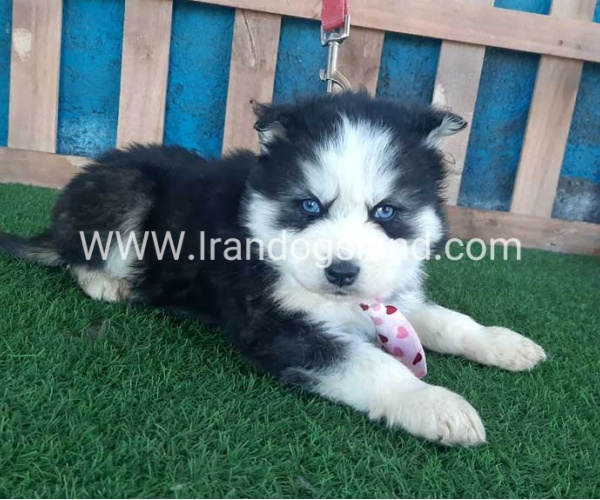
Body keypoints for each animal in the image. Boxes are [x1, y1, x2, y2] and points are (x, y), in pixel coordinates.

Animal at [0, 92, 546, 445]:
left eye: (386, 211)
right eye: (309, 205)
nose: (342, 273)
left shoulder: (391, 296)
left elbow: (449, 321)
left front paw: (503, 343)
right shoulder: (271, 322)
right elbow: (370, 362)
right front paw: (433, 403)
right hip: (128, 186)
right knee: (75, 252)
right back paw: (106, 282)